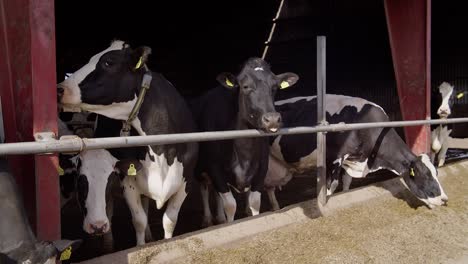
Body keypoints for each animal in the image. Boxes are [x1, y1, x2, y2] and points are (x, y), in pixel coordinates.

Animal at [57, 40, 198, 244]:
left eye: (108, 62)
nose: (59, 89)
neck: (162, 150)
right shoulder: (128, 182)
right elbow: (139, 220)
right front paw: (140, 246)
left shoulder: (185, 181)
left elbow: (169, 220)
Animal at [191, 57, 298, 225]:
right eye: (245, 86)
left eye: (274, 87)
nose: (272, 119)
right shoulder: (215, 169)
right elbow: (230, 205)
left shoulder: (261, 170)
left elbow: (254, 202)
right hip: (200, 169)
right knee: (204, 188)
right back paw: (208, 219)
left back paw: (220, 217)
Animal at [266, 94, 446, 208]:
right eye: (425, 176)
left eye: (436, 173)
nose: (445, 199)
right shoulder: (334, 158)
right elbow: (332, 186)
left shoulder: (352, 160)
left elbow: (347, 183)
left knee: (269, 190)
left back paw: (275, 208)